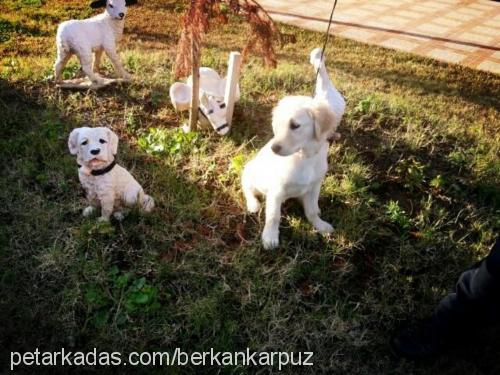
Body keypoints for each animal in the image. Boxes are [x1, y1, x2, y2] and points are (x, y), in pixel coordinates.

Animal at [241, 49, 344, 250]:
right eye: (278, 125)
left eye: (295, 125)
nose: (273, 149)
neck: (304, 157)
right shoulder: (276, 190)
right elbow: (274, 216)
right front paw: (270, 237)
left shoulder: (315, 185)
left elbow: (311, 210)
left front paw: (319, 225)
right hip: (248, 172)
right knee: (248, 189)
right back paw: (253, 204)